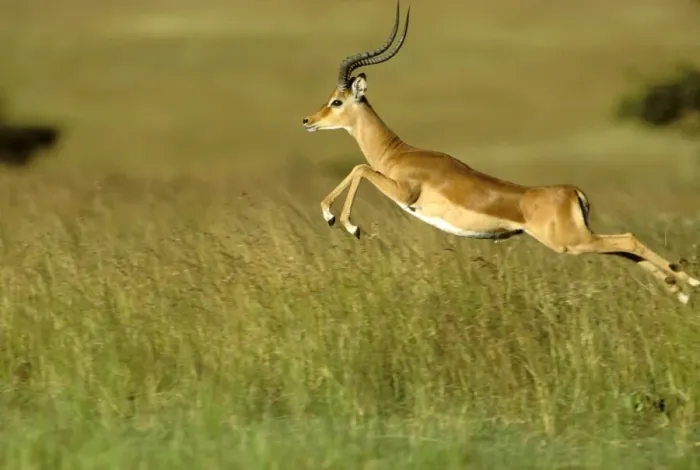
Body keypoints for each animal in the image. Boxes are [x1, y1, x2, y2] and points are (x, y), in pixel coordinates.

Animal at [301, 2, 699, 304]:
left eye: (337, 101)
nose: (307, 120)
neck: (397, 153)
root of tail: (573, 192)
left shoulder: (404, 193)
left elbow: (358, 169)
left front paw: (343, 222)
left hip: (571, 242)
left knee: (628, 240)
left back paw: (689, 285)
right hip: (581, 240)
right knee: (627, 249)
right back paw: (679, 290)